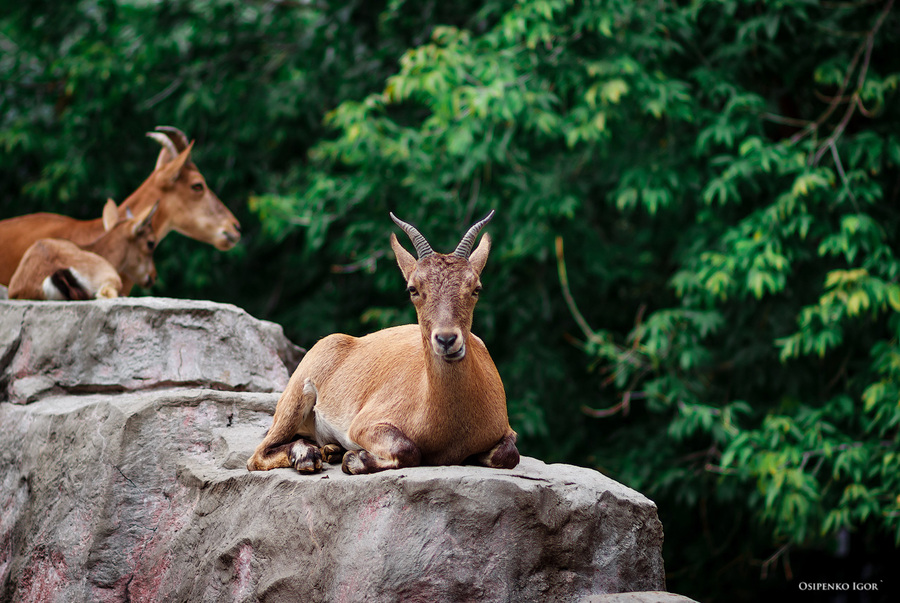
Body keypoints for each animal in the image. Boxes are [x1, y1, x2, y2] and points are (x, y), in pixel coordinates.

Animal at [250, 212, 524, 476]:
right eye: (413, 289)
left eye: (476, 288)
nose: (446, 339)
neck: (449, 425)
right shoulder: (365, 423)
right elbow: (407, 449)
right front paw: (355, 458)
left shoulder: (506, 429)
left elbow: (509, 454)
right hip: (296, 395)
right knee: (259, 454)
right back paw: (308, 456)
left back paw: (329, 450)